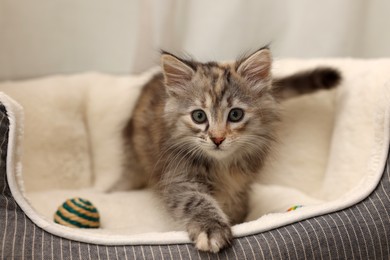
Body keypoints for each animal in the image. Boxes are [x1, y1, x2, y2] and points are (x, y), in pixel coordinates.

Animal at [123, 47, 340, 253]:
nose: (217, 138)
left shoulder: (241, 186)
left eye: (235, 114)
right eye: (199, 116)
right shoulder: (178, 176)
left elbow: (237, 207)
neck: (223, 166)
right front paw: (211, 229)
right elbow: (195, 200)